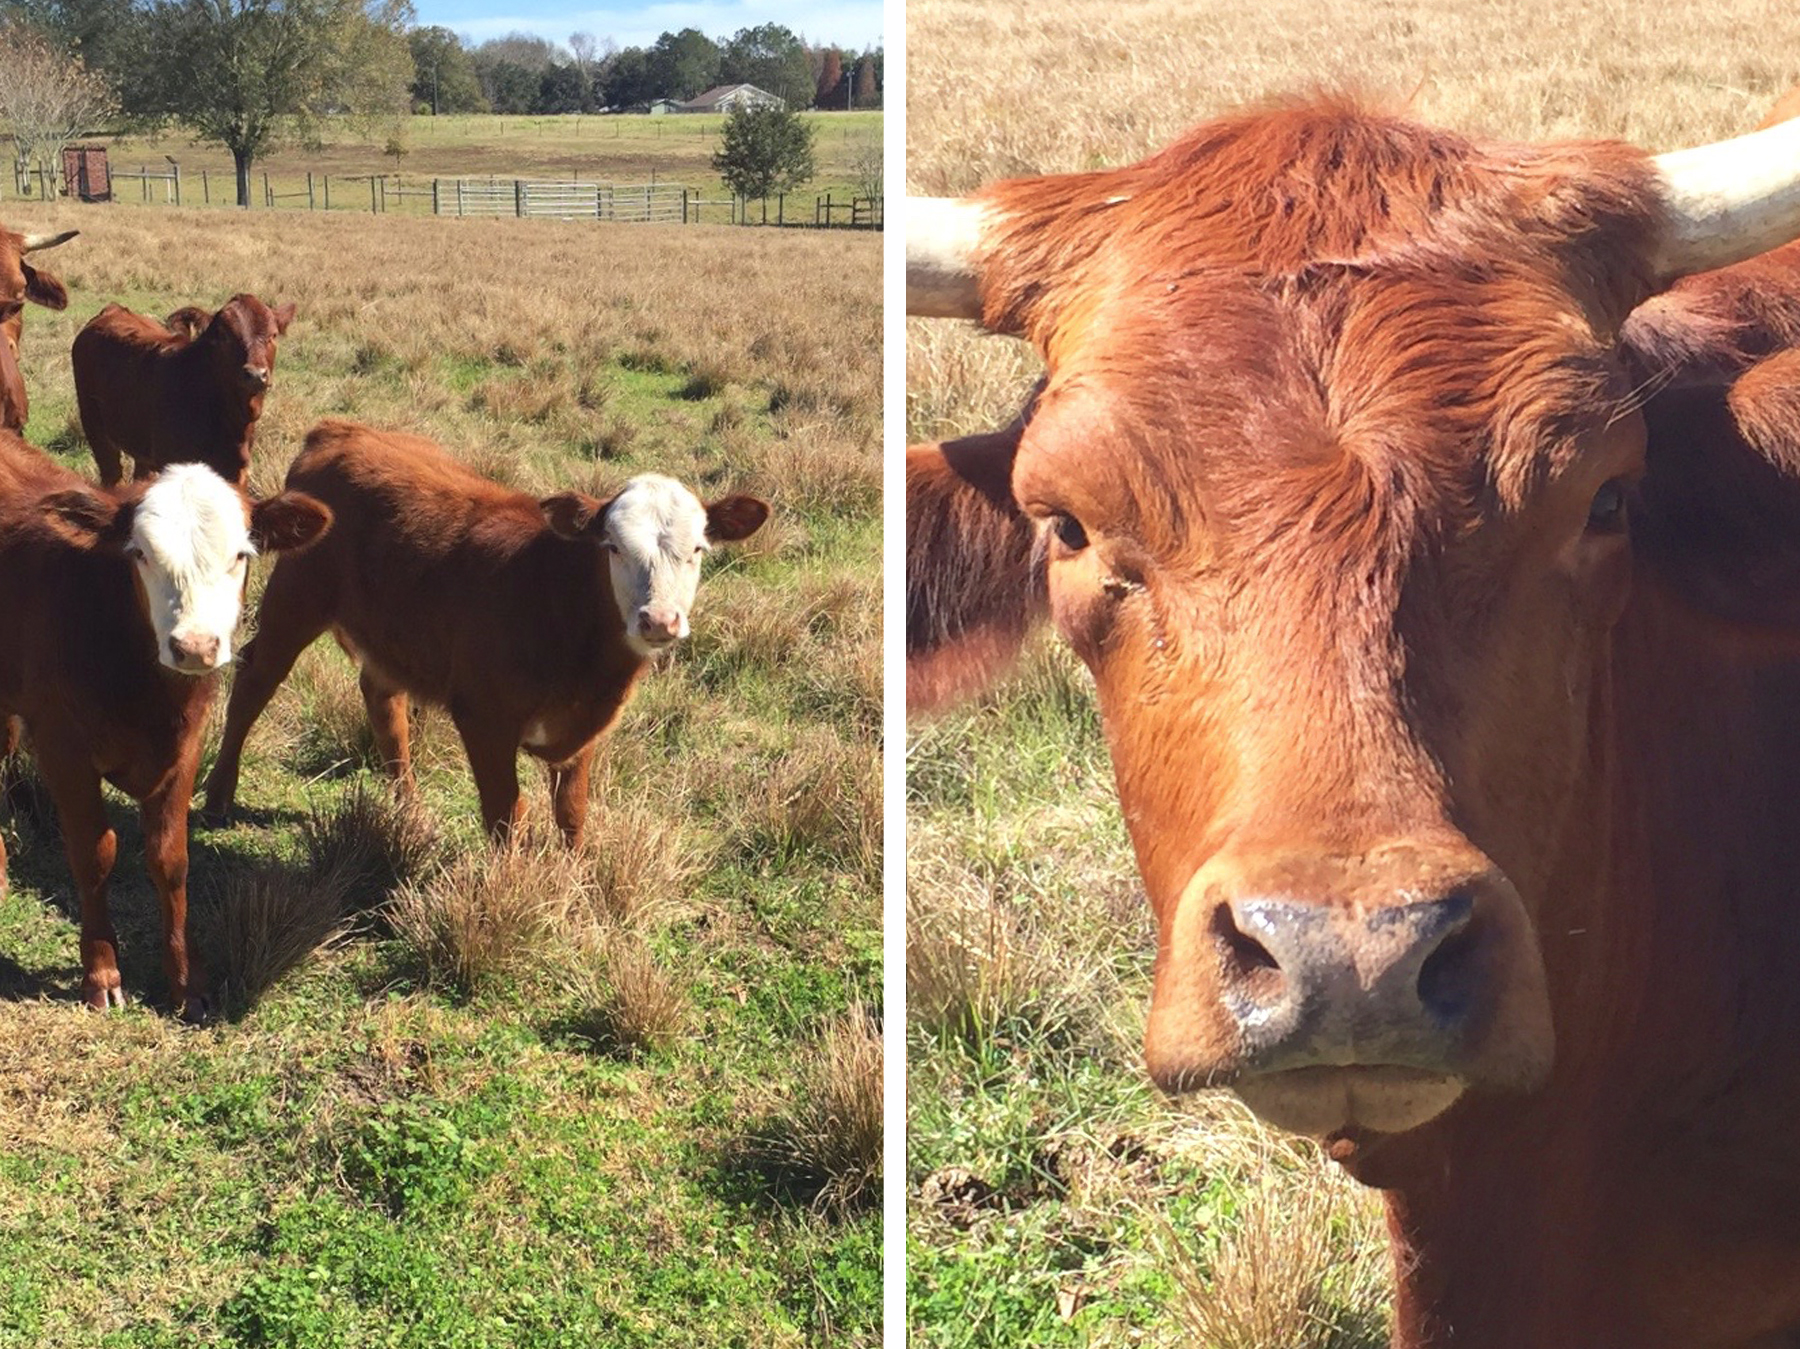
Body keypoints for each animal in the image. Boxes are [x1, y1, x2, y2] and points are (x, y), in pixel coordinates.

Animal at [0, 437, 331, 1015]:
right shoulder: (63, 747)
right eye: (139, 554)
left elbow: (170, 858)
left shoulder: (186, 747)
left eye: (241, 555)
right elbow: (94, 853)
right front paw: (102, 972)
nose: (195, 646)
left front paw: (185, 981)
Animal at [72, 295, 295, 489]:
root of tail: (114, 309)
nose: (256, 374)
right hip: (94, 427)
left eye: (273, 335)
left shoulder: (238, 473)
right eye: (224, 336)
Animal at [204, 417, 766, 842]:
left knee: (383, 700)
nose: (659, 620)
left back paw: (408, 808)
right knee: (255, 679)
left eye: (698, 549)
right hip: (295, 598)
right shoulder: (483, 716)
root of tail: (343, 430)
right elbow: (507, 816)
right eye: (613, 547)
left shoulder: (582, 732)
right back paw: (218, 795)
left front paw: (578, 886)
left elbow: (573, 815)